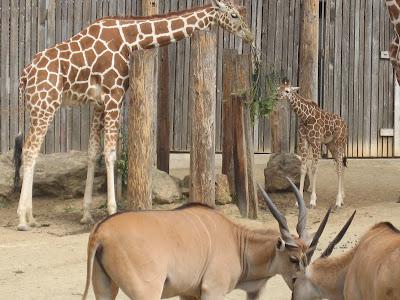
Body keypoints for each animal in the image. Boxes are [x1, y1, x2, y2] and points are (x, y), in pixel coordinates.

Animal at [14, 0, 253, 231]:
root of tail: (24, 75)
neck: (130, 40)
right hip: (45, 105)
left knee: (31, 151)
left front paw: (86, 214)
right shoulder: (114, 95)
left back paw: (32, 218)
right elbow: (110, 154)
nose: (249, 36)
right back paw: (23, 219)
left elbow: (92, 153)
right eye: (234, 15)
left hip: (37, 107)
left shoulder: (98, 103)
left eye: (243, 12)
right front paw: (112, 210)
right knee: (30, 150)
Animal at [82, 179, 332, 298]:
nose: (301, 285)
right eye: (293, 258)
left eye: (308, 257)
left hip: (104, 289)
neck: (236, 241)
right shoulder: (212, 291)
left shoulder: (188, 294)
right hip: (146, 293)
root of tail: (101, 232)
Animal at [278, 78, 346, 207]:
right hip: (331, 145)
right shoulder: (304, 141)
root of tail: (345, 124)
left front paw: (313, 201)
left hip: (339, 143)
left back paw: (338, 201)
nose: (277, 96)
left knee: (340, 166)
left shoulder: (316, 142)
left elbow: (314, 168)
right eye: (277, 89)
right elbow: (303, 168)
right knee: (340, 166)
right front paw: (298, 201)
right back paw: (342, 198)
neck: (305, 117)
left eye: (287, 91)